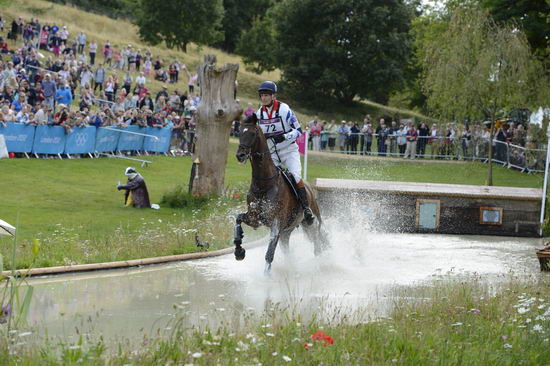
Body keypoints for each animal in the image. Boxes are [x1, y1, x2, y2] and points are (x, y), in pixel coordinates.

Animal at [234, 113, 330, 274]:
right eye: (239, 132)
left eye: (252, 134)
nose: (240, 155)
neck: (264, 185)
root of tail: (310, 189)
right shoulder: (255, 218)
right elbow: (238, 219)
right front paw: (239, 251)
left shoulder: (276, 223)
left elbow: (269, 254)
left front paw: (266, 278)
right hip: (287, 232)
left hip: (311, 224)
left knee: (317, 244)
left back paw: (319, 265)